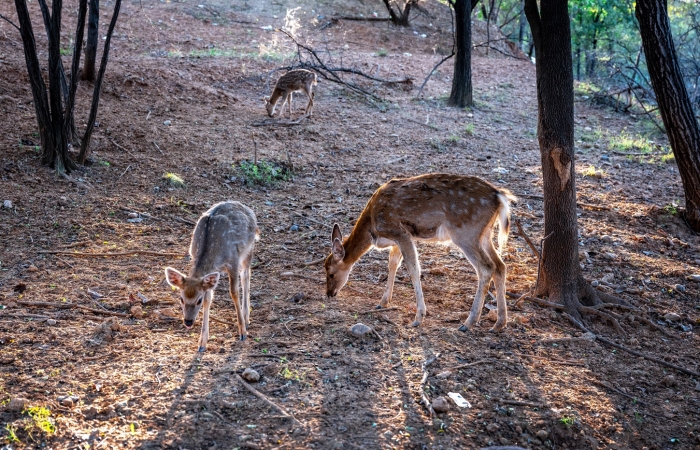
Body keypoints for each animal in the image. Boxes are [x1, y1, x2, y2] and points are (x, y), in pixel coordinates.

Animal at [165, 200, 260, 352]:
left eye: (198, 300)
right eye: (181, 299)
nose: (188, 321)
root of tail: (246, 208)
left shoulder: (232, 259)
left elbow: (234, 292)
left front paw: (242, 333)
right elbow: (209, 299)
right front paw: (202, 343)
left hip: (248, 248)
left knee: (246, 275)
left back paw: (246, 319)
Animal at [326, 174, 516, 332]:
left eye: (330, 273)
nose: (329, 293)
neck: (372, 227)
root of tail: (500, 197)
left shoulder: (399, 231)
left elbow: (413, 269)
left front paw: (418, 317)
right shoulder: (400, 238)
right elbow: (393, 263)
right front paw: (383, 302)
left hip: (466, 233)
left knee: (486, 268)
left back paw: (468, 323)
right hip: (484, 235)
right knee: (500, 266)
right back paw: (499, 323)